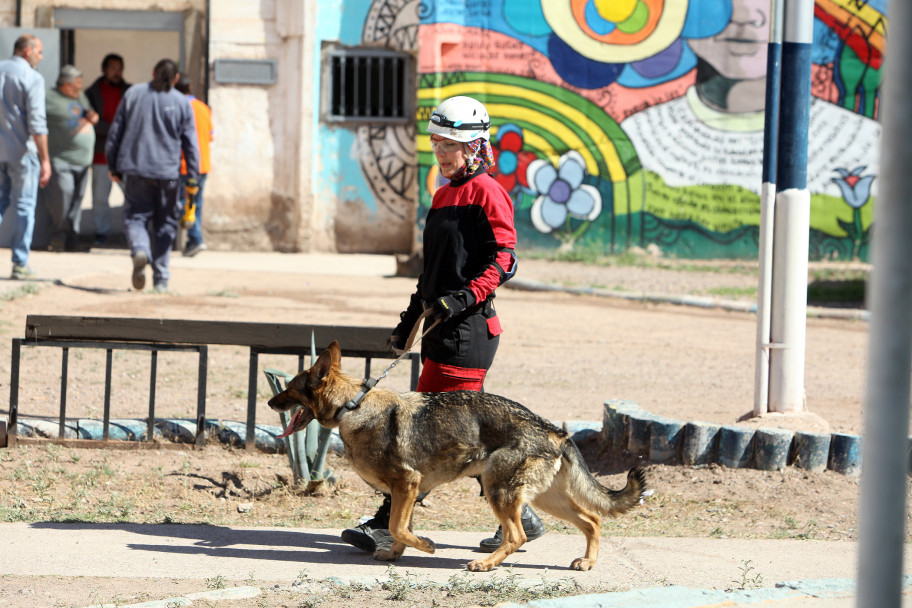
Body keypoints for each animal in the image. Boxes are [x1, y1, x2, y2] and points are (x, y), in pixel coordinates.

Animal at [268, 344, 644, 572]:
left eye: (289, 388)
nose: (271, 402)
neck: (353, 406)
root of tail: (554, 430)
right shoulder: (405, 491)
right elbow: (399, 527)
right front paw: (395, 554)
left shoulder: (408, 484)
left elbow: (398, 526)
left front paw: (425, 546)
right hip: (546, 498)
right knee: (592, 520)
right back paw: (587, 562)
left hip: (498, 492)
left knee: (518, 535)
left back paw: (487, 564)